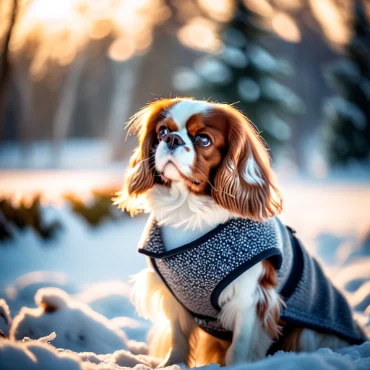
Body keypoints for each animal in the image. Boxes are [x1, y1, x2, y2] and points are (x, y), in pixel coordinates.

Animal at [116, 98, 368, 368]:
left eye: (203, 139)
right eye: (162, 131)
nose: (172, 139)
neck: (189, 210)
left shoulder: (249, 298)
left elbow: (240, 346)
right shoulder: (174, 297)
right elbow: (179, 337)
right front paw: (172, 364)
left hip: (309, 332)